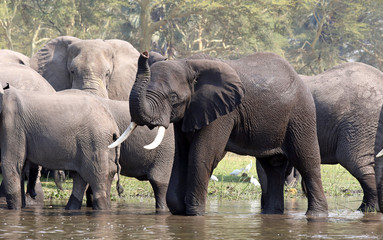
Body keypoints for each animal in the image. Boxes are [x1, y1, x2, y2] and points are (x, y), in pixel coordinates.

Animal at [111, 51, 330, 217]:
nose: (145, 54)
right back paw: (271, 215)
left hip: (301, 114)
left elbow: (202, 154)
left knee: (306, 161)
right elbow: (181, 156)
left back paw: (316, 216)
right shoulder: (188, 113)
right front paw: (180, 210)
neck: (187, 64)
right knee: (272, 166)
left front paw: (195, 214)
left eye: (173, 97)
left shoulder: (223, 112)